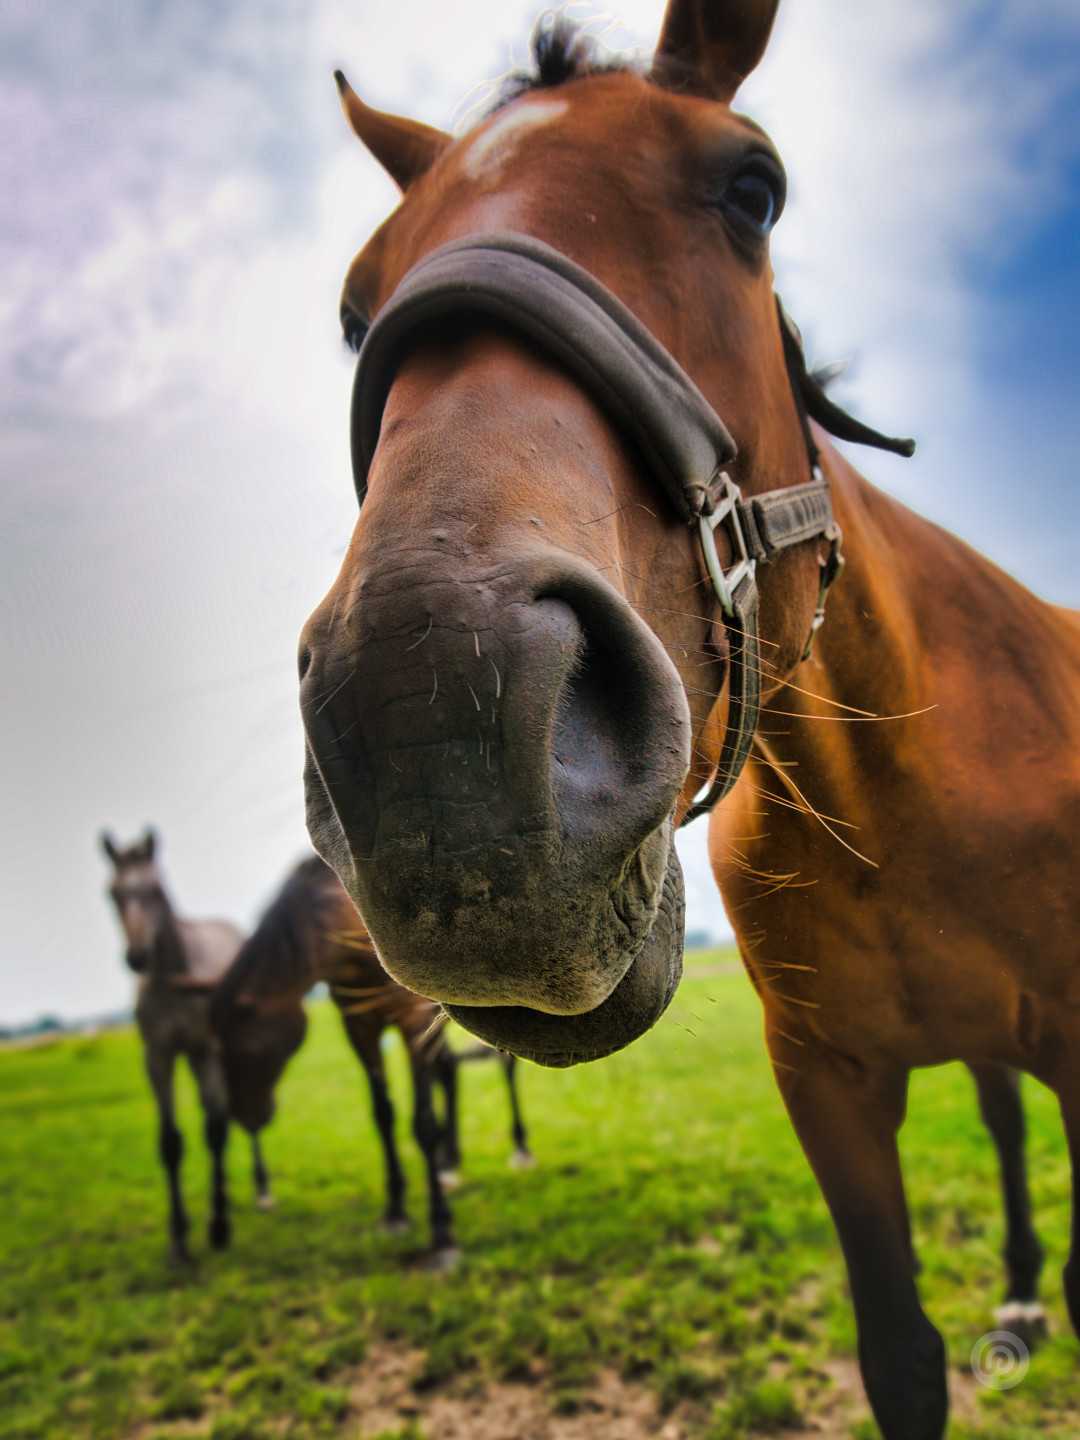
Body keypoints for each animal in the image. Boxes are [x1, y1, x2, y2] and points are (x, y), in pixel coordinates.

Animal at [101, 829, 269, 1263]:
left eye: (156, 890)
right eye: (113, 893)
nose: (138, 956)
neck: (174, 978)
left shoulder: (207, 1050)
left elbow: (215, 1130)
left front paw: (219, 1226)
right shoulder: (157, 1056)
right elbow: (171, 1142)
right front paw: (179, 1237)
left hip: (220, 1053)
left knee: (239, 1113)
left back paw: (260, 1189)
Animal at [211, 854, 533, 1261]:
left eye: (240, 1046)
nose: (244, 1116)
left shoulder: (412, 1020)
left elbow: (423, 1123)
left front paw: (441, 1233)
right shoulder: (359, 1027)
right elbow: (383, 1115)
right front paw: (395, 1212)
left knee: (506, 1065)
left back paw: (521, 1149)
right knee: (448, 1071)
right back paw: (450, 1163)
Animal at [294, 4, 1079, 1435]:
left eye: (753, 190)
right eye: (352, 308)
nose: (429, 729)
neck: (889, 789)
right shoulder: (826, 1085)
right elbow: (902, 1358)